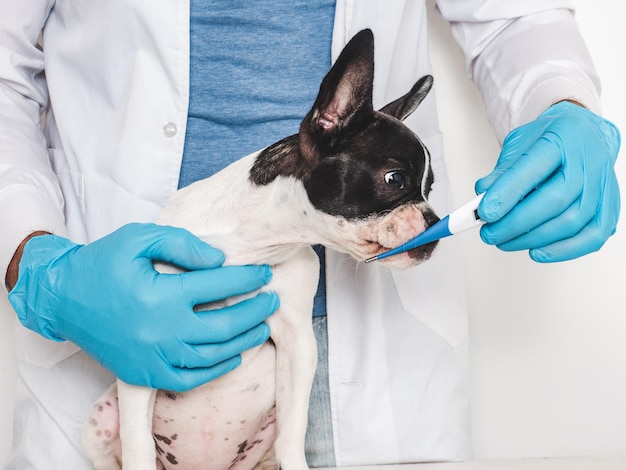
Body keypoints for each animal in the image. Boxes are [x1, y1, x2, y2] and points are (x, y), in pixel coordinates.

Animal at [84, 29, 438, 470]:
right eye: (394, 179)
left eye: (431, 188)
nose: (434, 222)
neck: (253, 245)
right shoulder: (141, 351)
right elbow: (137, 445)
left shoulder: (298, 345)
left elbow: (293, 433)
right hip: (98, 423)